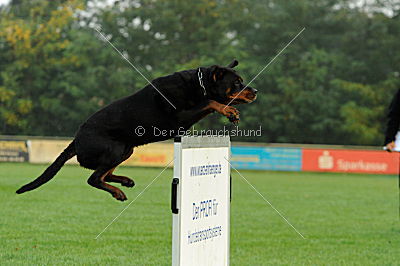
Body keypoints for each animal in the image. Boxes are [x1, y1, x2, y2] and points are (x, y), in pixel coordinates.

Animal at [16, 59, 256, 202]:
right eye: (237, 83)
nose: (255, 91)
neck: (199, 85)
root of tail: (75, 140)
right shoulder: (180, 118)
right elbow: (209, 102)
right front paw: (229, 110)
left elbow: (209, 102)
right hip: (114, 149)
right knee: (94, 178)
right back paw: (118, 191)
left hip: (125, 149)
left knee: (105, 173)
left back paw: (125, 181)